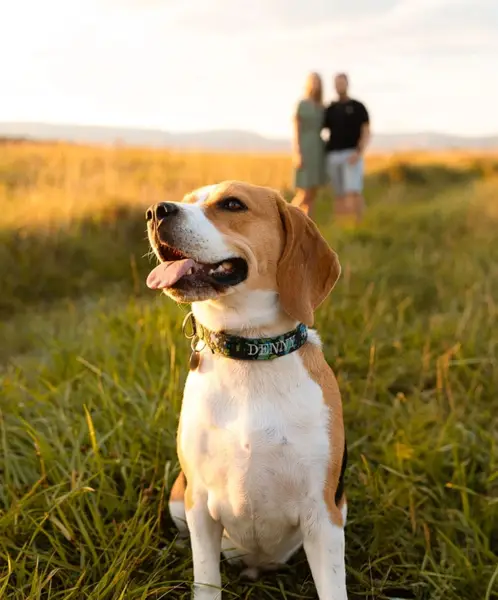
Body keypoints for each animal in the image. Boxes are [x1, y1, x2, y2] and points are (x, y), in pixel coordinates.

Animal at [144, 183, 346, 600]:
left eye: (232, 204)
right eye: (187, 198)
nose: (155, 211)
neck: (249, 355)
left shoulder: (323, 515)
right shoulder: (200, 507)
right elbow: (206, 579)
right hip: (180, 495)